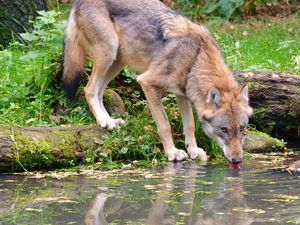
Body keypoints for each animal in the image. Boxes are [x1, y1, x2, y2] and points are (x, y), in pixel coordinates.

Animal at [62, 0, 253, 167]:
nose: (237, 160)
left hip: (116, 62)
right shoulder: (147, 83)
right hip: (109, 53)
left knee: (99, 91)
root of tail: (77, 2)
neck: (195, 59)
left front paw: (193, 151)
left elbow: (189, 125)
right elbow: (164, 125)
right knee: (89, 89)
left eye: (242, 129)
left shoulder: (182, 93)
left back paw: (110, 121)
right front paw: (173, 153)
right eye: (224, 129)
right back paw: (103, 121)